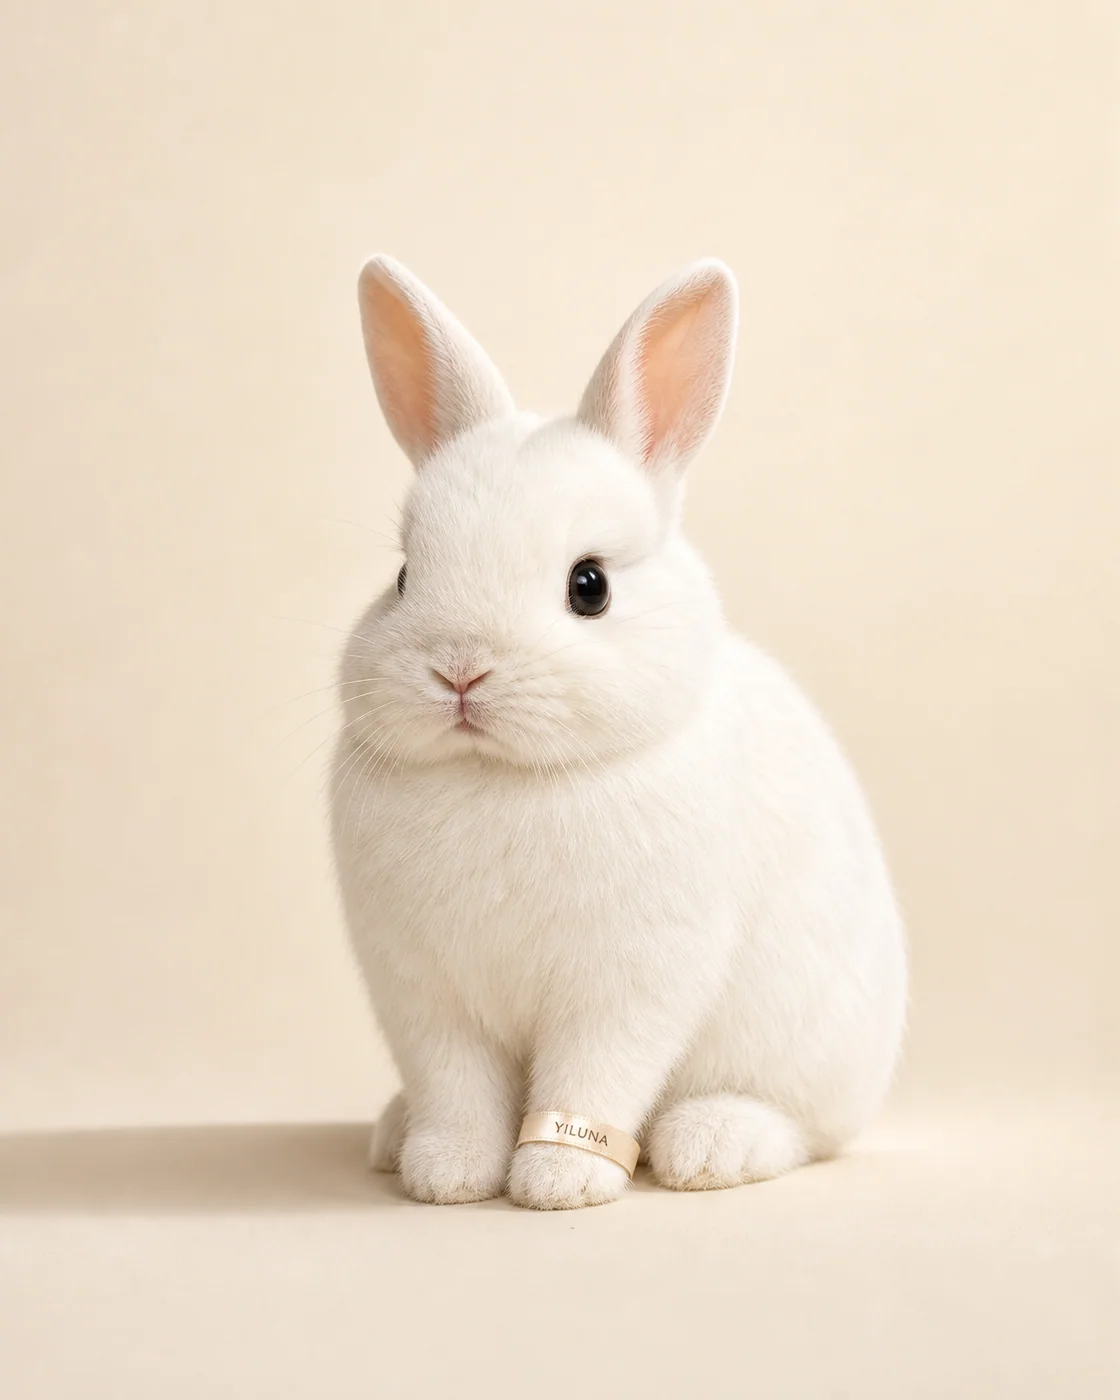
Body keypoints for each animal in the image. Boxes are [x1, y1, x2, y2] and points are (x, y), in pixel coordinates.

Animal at [330, 253, 907, 1210]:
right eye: (406, 577)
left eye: (590, 585)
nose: (460, 671)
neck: (499, 776)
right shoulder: (425, 996)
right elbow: (457, 1091)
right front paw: (446, 1173)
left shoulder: (627, 988)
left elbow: (592, 1078)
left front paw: (559, 1179)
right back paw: (390, 1133)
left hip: (809, 1046)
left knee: (810, 1129)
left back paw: (714, 1145)